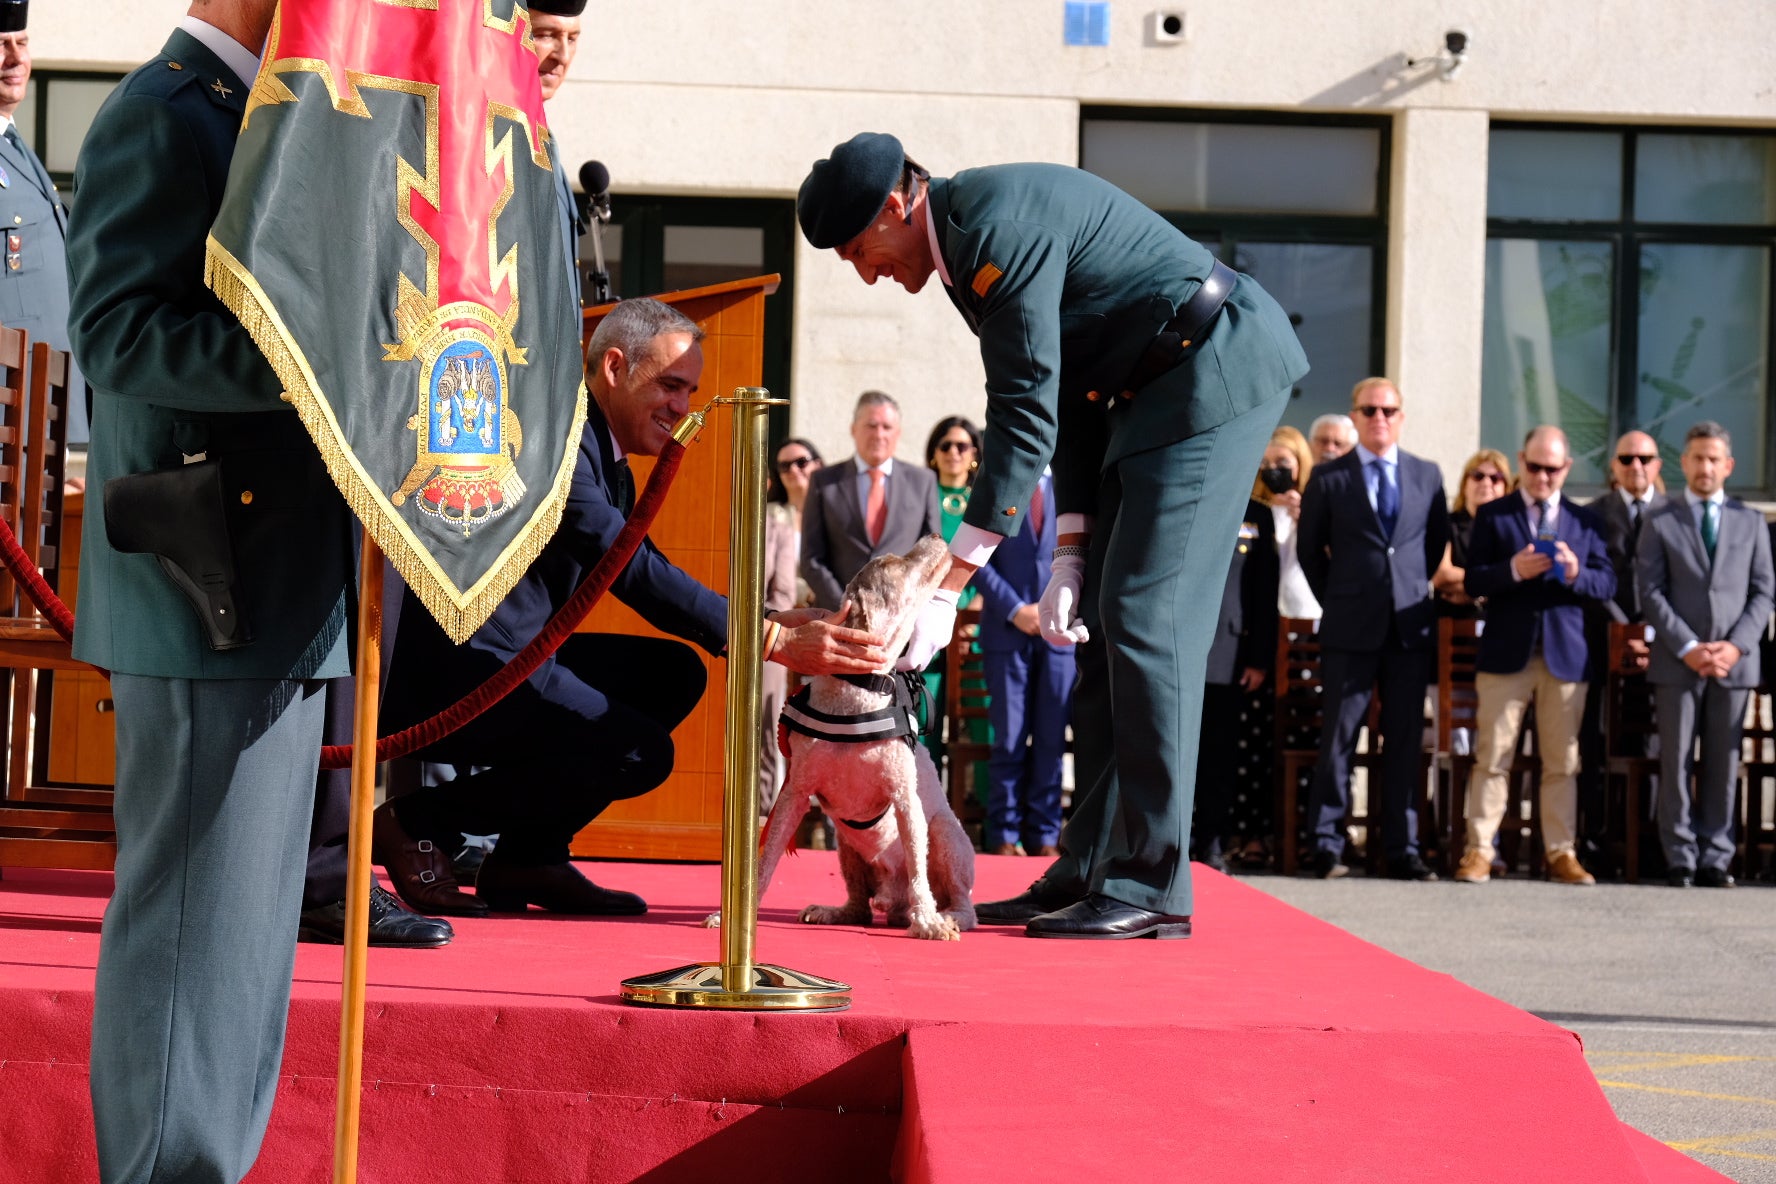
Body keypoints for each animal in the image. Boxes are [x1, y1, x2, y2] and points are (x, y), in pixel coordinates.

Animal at [710, 532, 980, 937]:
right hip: (846, 847)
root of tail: (892, 901)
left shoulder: (905, 796)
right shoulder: (795, 793)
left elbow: (918, 870)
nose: (934, 535)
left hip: (946, 834)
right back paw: (833, 912)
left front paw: (929, 923)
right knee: (860, 907)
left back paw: (947, 916)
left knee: (960, 901)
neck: (856, 693)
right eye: (893, 563)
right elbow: (765, 860)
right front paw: (734, 917)